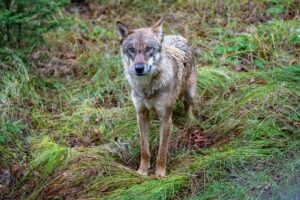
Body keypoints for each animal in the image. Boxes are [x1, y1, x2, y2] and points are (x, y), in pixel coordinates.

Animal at [116, 16, 196, 178]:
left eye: (148, 49)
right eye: (132, 50)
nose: (139, 68)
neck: (147, 88)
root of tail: (178, 36)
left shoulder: (166, 119)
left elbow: (162, 151)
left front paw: (160, 175)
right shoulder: (141, 115)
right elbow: (144, 149)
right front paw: (142, 171)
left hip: (190, 94)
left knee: (189, 105)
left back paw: (191, 120)